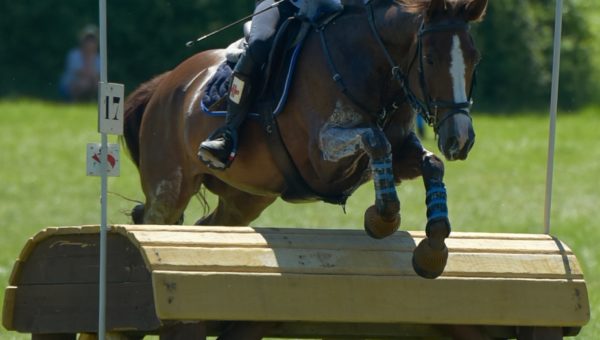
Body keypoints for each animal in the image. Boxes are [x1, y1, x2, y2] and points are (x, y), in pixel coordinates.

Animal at [123, 0, 488, 286]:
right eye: (430, 60)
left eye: (474, 59)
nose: (459, 139)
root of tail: (165, 83)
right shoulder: (320, 159)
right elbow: (374, 139)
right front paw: (382, 219)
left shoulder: (399, 152)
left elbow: (430, 164)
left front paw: (432, 253)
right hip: (169, 188)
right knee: (153, 218)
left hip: (246, 198)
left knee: (209, 226)